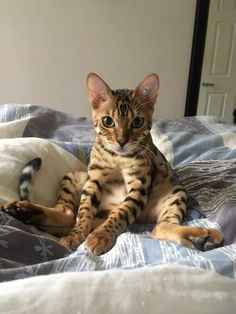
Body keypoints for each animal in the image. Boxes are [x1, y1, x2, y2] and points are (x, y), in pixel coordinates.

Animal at [1, 72, 225, 254]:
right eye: (108, 121)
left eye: (137, 122)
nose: (122, 141)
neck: (118, 157)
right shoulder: (93, 180)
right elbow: (83, 214)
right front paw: (75, 236)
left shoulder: (138, 188)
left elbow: (121, 213)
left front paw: (100, 236)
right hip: (75, 175)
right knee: (68, 213)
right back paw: (20, 208)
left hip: (174, 190)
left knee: (158, 228)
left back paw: (204, 237)